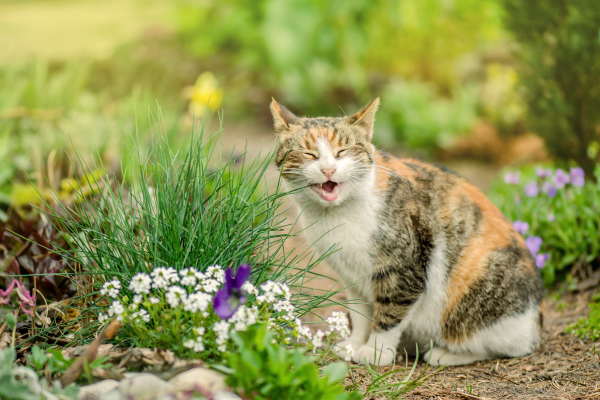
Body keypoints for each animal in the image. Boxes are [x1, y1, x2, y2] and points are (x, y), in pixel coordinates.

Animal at [270, 98, 544, 368]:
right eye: (309, 153)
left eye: (342, 151)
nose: (328, 169)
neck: (336, 215)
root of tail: (536, 321)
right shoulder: (352, 277)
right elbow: (359, 314)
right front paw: (353, 344)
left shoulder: (404, 270)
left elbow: (390, 315)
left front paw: (376, 352)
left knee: (502, 347)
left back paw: (444, 354)